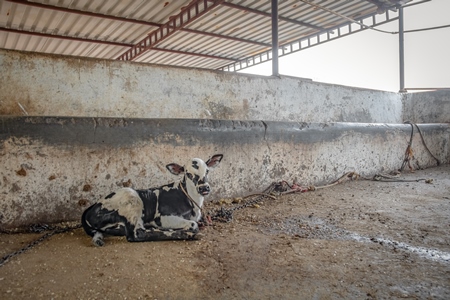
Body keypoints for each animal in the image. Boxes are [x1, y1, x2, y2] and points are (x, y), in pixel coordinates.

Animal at [82, 155, 223, 246]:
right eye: (188, 174)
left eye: (207, 171)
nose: (204, 188)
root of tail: (92, 208)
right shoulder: (163, 217)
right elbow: (193, 224)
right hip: (132, 200)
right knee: (137, 234)